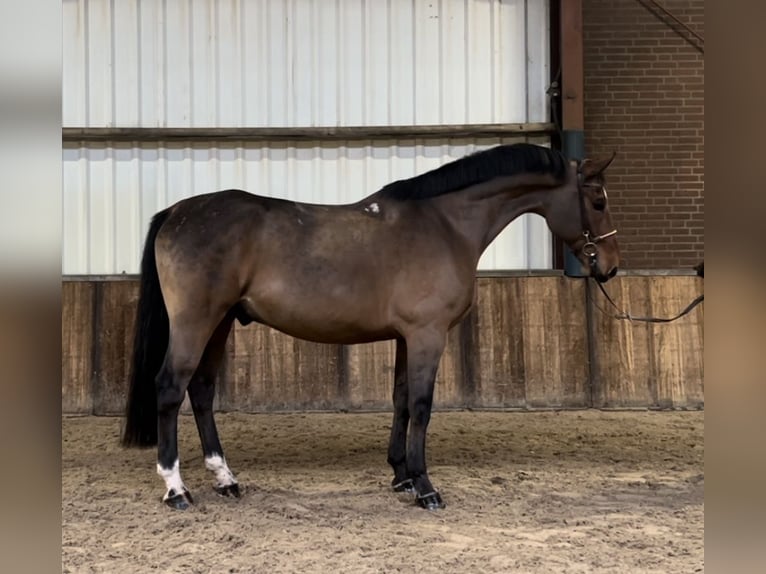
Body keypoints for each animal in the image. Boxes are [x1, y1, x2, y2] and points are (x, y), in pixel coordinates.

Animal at [121, 144, 624, 512]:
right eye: (598, 201)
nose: (611, 267)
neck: (445, 225)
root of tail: (176, 212)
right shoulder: (427, 335)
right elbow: (421, 405)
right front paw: (425, 487)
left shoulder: (406, 337)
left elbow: (401, 400)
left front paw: (400, 476)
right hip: (197, 321)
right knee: (171, 387)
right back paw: (177, 489)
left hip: (221, 321)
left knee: (202, 390)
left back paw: (226, 479)